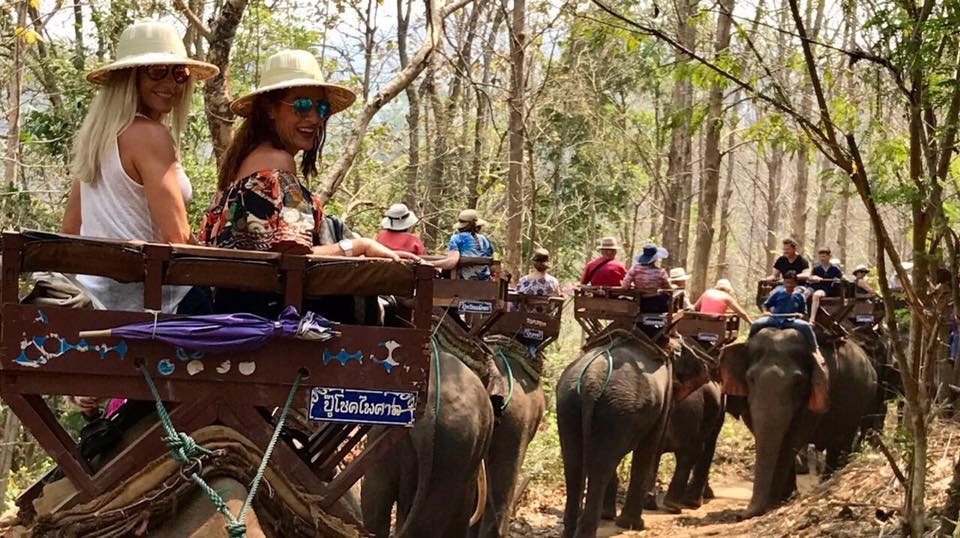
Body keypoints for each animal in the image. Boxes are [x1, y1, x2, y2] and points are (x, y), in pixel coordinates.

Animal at [560, 326, 708, 536]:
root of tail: (590, 384)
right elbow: (651, 447)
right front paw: (634, 524)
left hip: (570, 404)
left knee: (574, 465)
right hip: (619, 410)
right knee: (600, 467)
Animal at [720, 324, 876, 516]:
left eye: (798, 382)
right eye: (750, 378)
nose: (741, 514)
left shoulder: (818, 391)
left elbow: (791, 440)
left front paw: (776, 502)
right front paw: (784, 499)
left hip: (860, 401)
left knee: (842, 442)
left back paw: (829, 480)